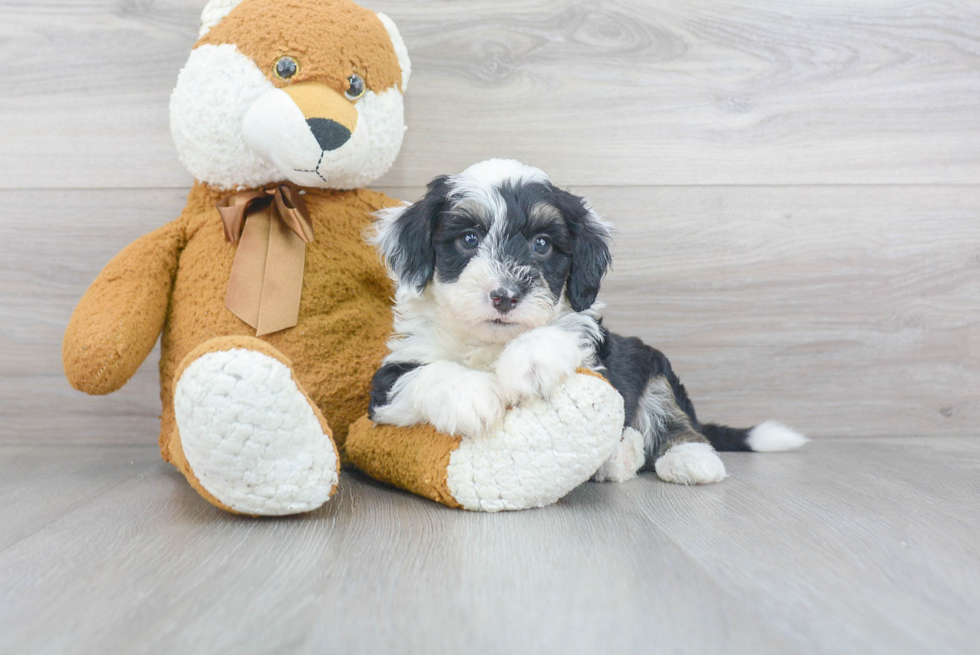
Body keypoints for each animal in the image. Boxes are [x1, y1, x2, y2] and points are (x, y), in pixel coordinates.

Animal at [368, 160, 804, 486]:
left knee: (674, 418)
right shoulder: (385, 385)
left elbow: (557, 337)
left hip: (651, 363)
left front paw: (529, 362)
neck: (492, 343)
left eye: (542, 245)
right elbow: (423, 374)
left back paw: (689, 459)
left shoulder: (594, 354)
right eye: (469, 239)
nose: (505, 296)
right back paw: (623, 455)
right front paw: (470, 396)